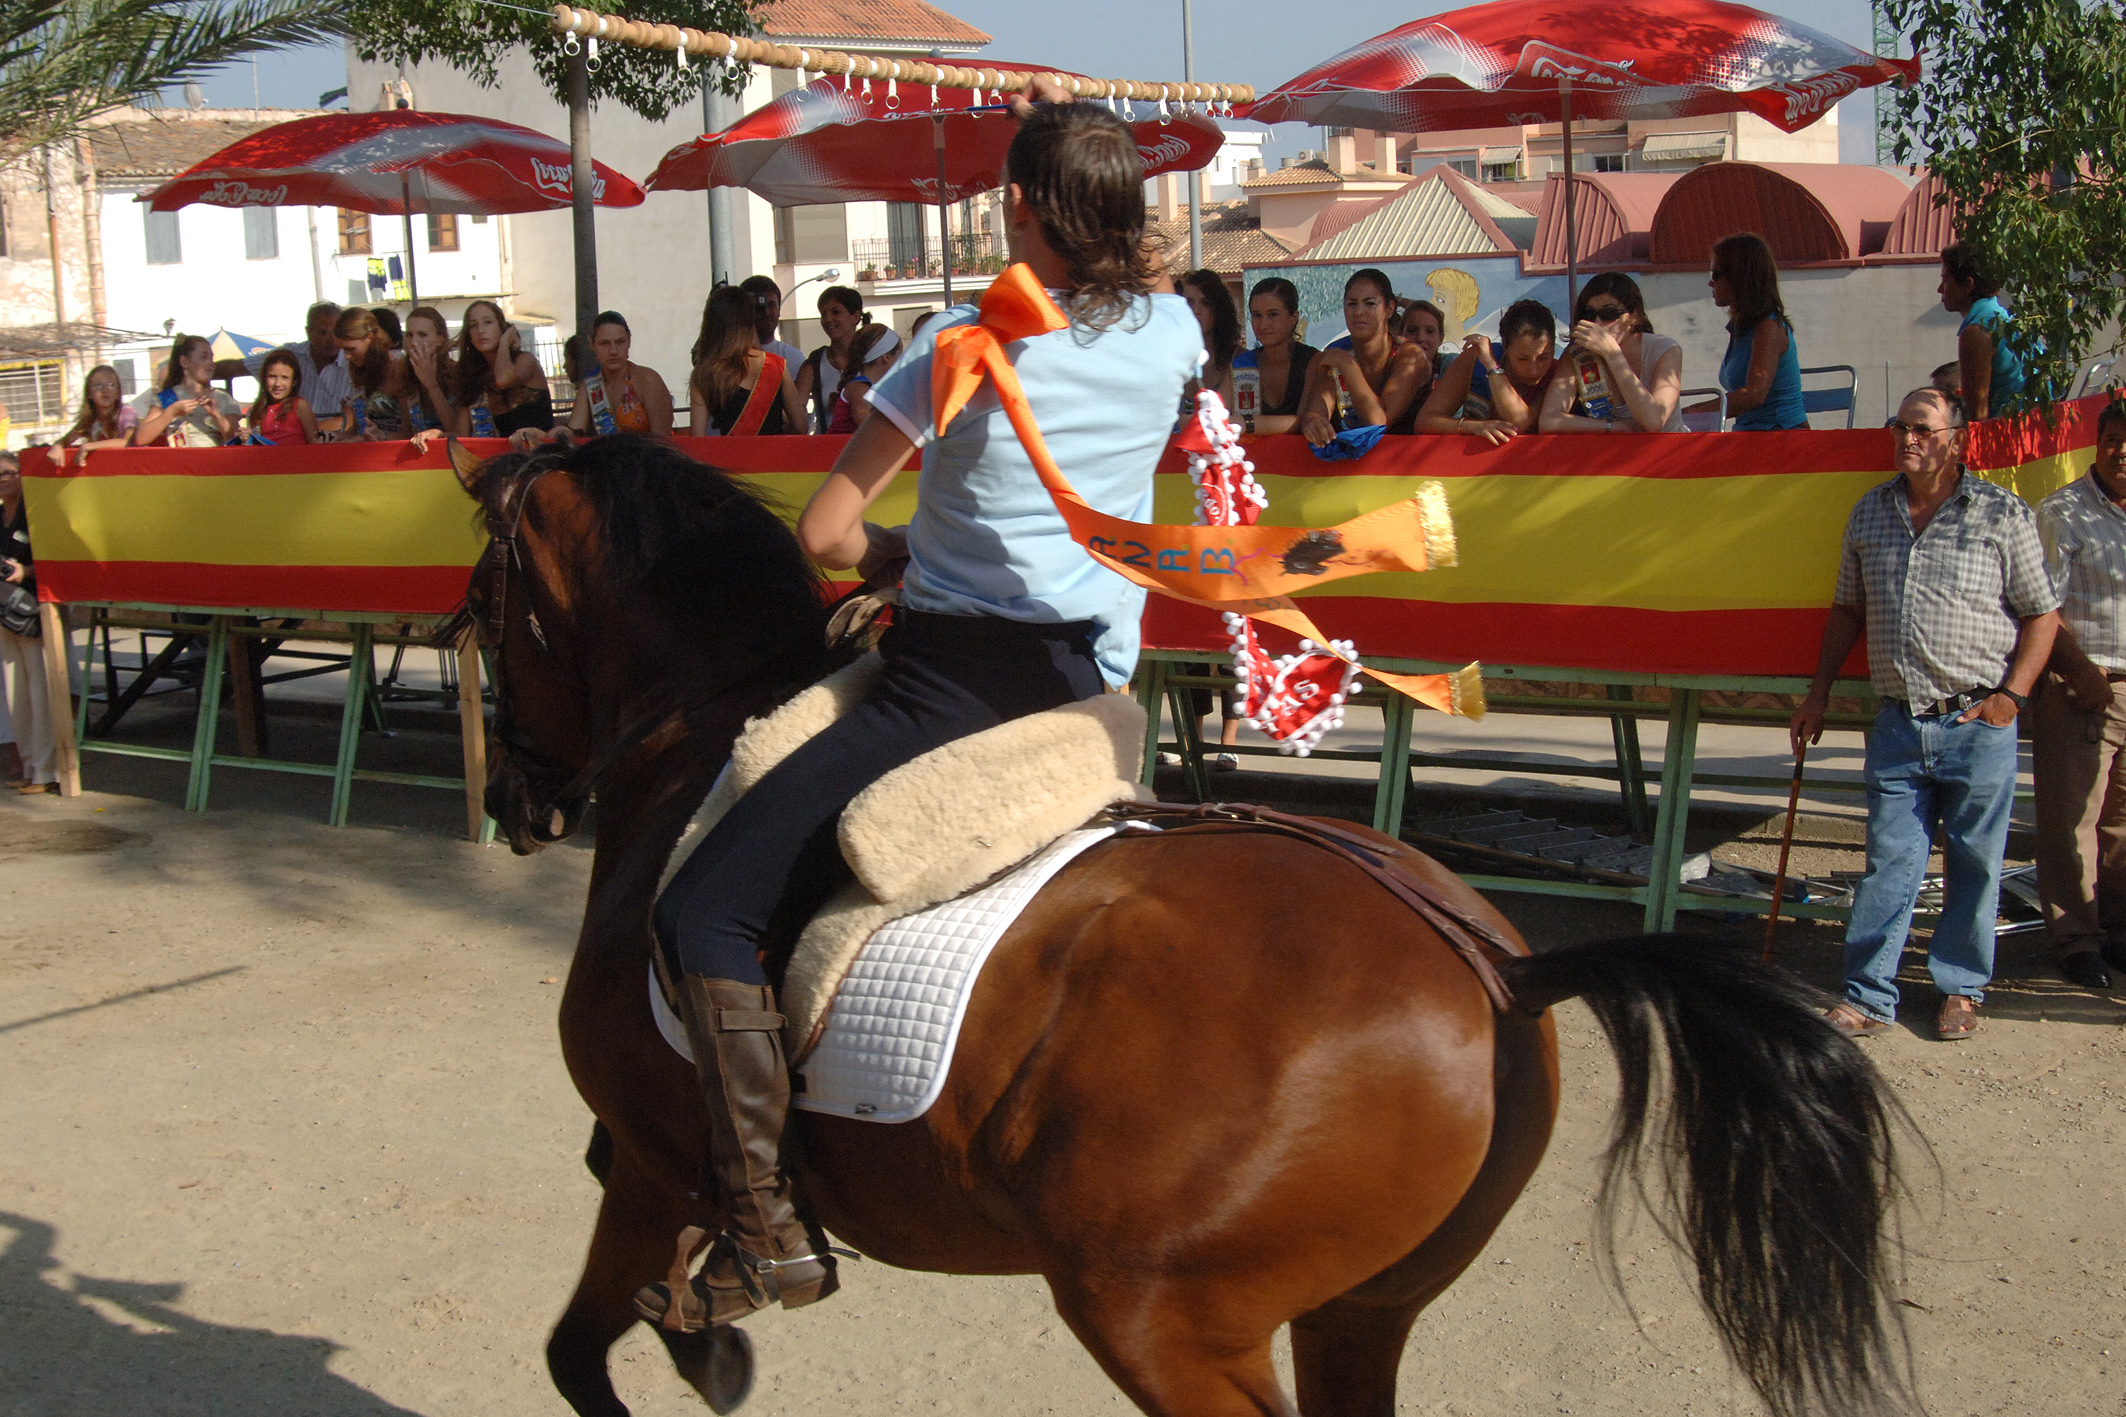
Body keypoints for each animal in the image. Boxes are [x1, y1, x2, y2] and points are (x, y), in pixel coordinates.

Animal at [457, 437, 1921, 1417]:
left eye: (479, 611)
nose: (517, 801)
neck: (703, 729)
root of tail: (1496, 971)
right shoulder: (654, 1172)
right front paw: (707, 1332)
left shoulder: (652, 1164)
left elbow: (577, 1354)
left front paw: (705, 1330)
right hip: (1355, 1312)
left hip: (1163, 1319)